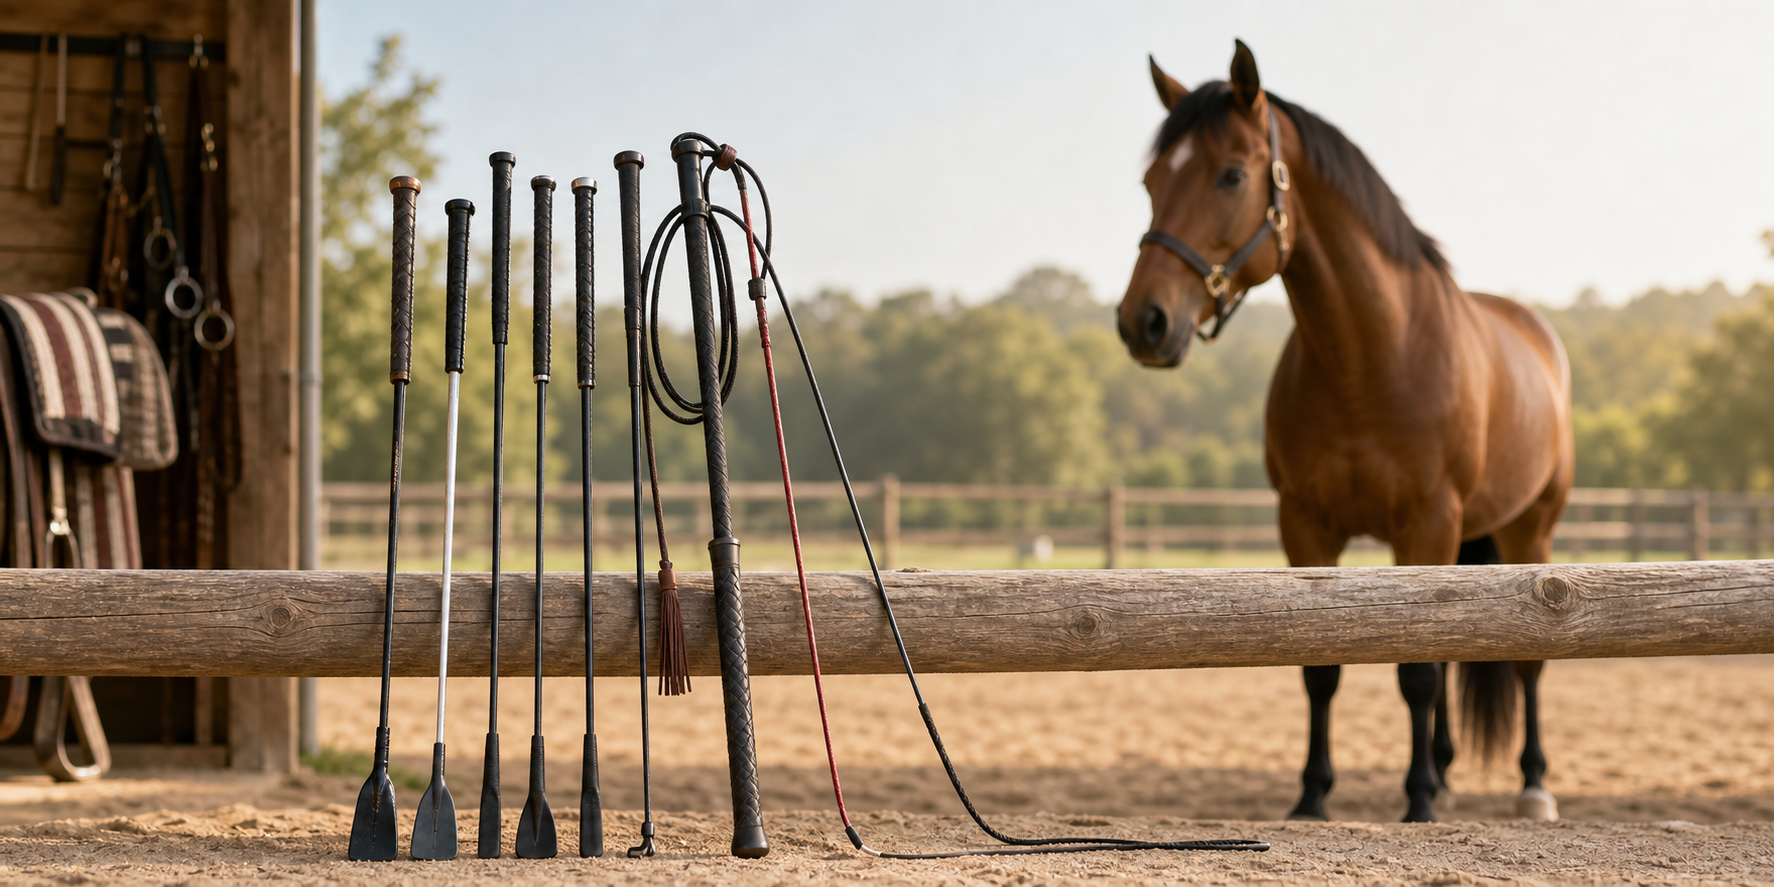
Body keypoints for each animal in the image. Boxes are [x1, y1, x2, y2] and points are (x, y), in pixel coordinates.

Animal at [1117, 40, 1573, 823]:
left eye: (1232, 173)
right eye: (1151, 180)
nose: (1143, 321)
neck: (1372, 359)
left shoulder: (1427, 523)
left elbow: (1417, 671)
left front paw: (1416, 803)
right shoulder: (1307, 525)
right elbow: (1320, 665)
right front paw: (1312, 798)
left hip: (1527, 529)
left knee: (1525, 661)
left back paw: (1529, 784)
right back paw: (1445, 772)